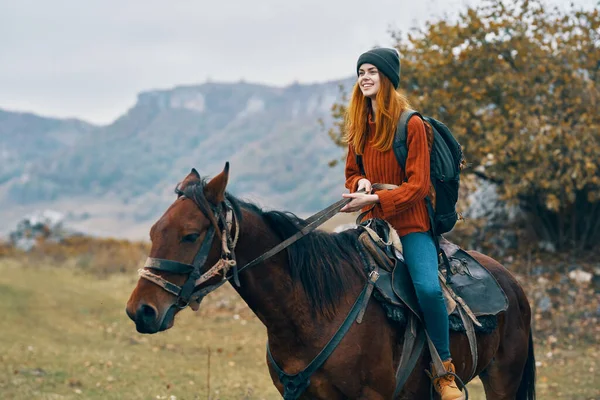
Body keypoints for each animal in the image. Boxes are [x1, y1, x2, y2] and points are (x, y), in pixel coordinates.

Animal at [125, 164, 536, 398]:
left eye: (190, 235)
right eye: (154, 231)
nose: (140, 311)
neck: (311, 313)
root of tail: (511, 283)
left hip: (502, 380)